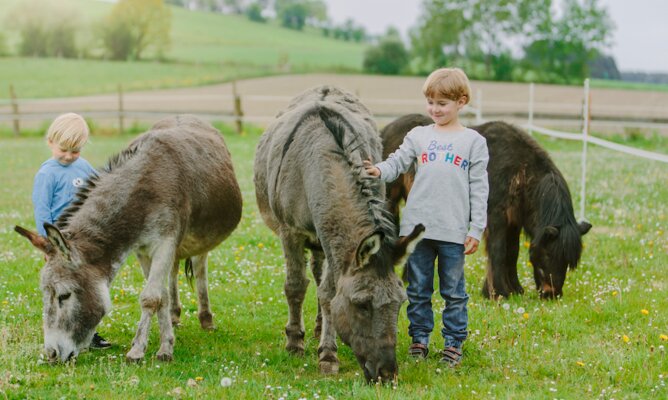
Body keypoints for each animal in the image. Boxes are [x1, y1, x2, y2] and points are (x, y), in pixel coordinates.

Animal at [378, 114, 592, 298]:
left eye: (567, 262)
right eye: (548, 255)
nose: (552, 294)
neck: (520, 171)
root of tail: (385, 130)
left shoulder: (514, 222)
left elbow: (512, 253)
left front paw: (515, 289)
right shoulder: (496, 217)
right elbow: (498, 251)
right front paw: (498, 292)